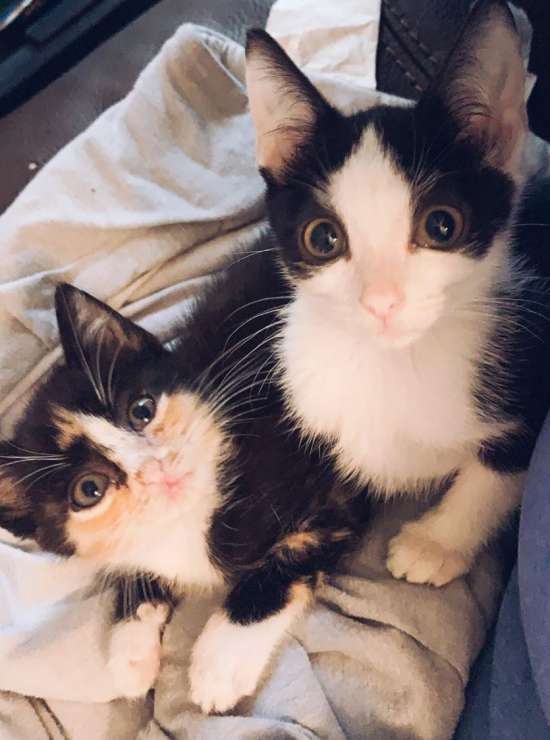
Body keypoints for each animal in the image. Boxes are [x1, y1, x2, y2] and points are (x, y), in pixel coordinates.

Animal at [245, 0, 550, 588]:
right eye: (323, 238)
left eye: (442, 226)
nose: (381, 302)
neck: (394, 367)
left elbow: (497, 469)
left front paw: (437, 542)